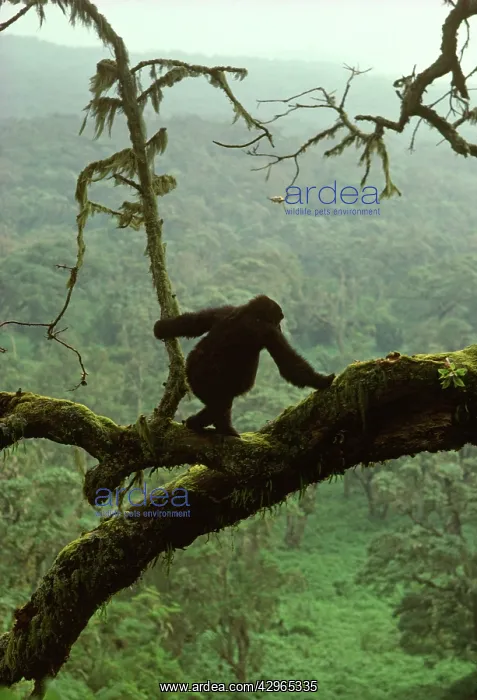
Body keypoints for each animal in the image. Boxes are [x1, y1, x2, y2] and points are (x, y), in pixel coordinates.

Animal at [153, 295, 335, 437]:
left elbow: (194, 322)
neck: (249, 312)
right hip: (206, 380)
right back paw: (206, 425)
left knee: (219, 404)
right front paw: (322, 381)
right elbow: (289, 364)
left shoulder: (225, 309)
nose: (280, 327)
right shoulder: (268, 331)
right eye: (278, 319)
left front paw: (160, 328)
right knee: (221, 404)